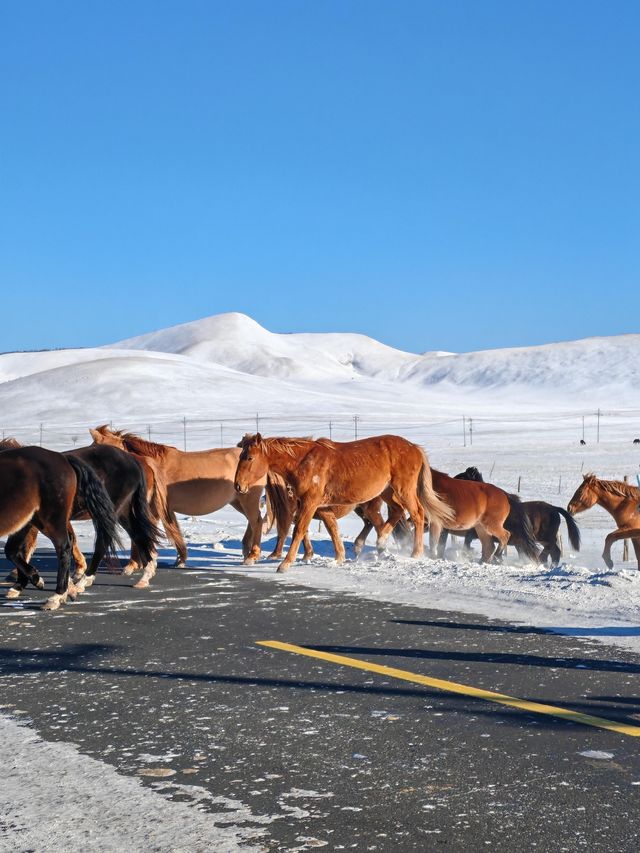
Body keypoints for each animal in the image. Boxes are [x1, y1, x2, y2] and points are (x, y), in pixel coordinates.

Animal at [0, 442, 120, 608]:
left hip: (51, 519)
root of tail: (63, 458)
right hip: (30, 521)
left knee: (64, 548)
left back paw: (57, 596)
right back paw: (42, 582)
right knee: (13, 551)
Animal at [90, 426, 264, 564]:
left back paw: (251, 555)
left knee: (256, 521)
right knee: (253, 521)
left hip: (248, 500)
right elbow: (175, 532)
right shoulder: (166, 510)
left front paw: (134, 564)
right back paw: (246, 550)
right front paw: (180, 559)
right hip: (237, 501)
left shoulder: (152, 510)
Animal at [232, 432, 452, 572]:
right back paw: (381, 541)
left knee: (417, 514)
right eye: (240, 455)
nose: (238, 486)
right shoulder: (321, 508)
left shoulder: (310, 503)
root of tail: (414, 448)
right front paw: (339, 558)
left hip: (403, 489)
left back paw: (415, 553)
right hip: (387, 491)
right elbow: (331, 531)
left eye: (249, 457)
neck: (303, 462)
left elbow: (299, 530)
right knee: (396, 513)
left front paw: (284, 564)